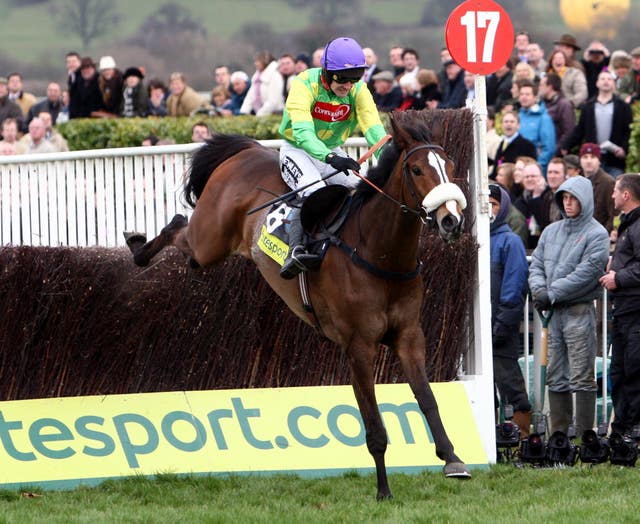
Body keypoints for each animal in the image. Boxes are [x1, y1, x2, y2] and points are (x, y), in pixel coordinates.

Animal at [127, 111, 472, 500]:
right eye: (415, 169)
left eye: (450, 166)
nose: (451, 220)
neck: (378, 252)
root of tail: (248, 149)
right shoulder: (358, 346)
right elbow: (373, 423)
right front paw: (383, 490)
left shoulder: (409, 335)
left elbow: (427, 398)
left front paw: (452, 459)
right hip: (209, 242)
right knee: (178, 227)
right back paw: (138, 247)